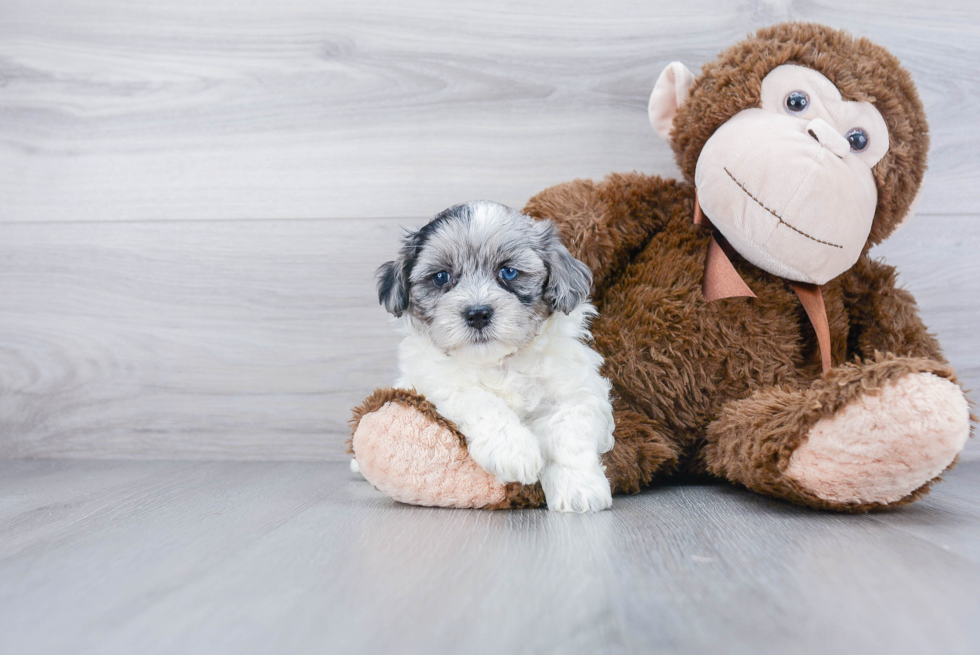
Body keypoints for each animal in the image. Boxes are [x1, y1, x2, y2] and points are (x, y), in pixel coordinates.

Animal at [374, 200, 612, 512]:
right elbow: (481, 400)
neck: (499, 361)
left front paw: (580, 489)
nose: (477, 313)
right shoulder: (437, 380)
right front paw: (514, 451)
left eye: (508, 272)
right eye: (441, 277)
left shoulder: (576, 387)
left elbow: (569, 430)